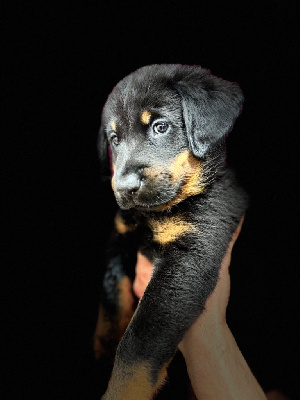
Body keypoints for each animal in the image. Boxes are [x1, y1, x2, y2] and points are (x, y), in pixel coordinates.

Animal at [95, 64, 247, 398]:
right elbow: (113, 302)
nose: (123, 189)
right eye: (114, 138)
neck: (155, 213)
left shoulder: (190, 253)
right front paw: (102, 353)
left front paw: (122, 388)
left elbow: (140, 339)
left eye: (161, 127)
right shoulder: (120, 240)